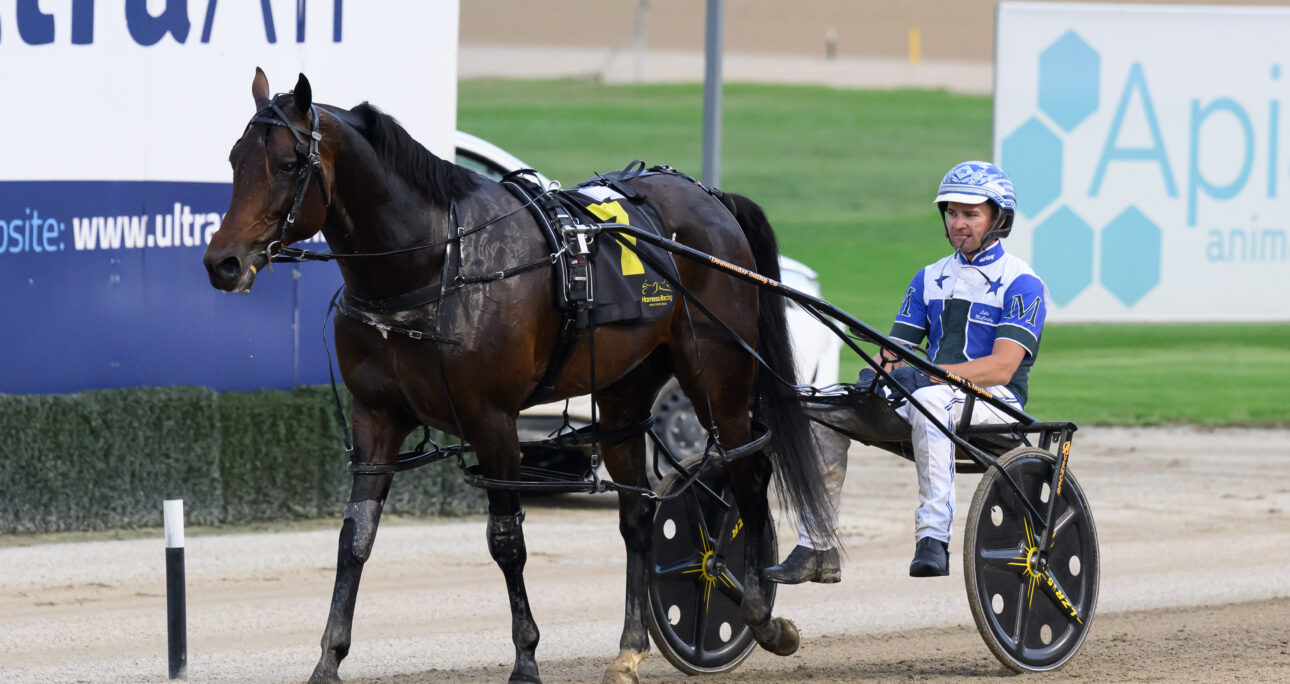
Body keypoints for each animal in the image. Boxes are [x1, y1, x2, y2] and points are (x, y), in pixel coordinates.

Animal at [198, 69, 825, 681]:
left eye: (287, 163)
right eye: (234, 158)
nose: (222, 262)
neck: (434, 264)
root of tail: (711, 198)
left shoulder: (493, 421)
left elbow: (507, 542)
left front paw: (525, 659)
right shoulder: (376, 417)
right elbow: (355, 538)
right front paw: (328, 661)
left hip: (717, 373)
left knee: (748, 475)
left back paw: (759, 612)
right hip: (624, 389)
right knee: (638, 513)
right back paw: (630, 648)